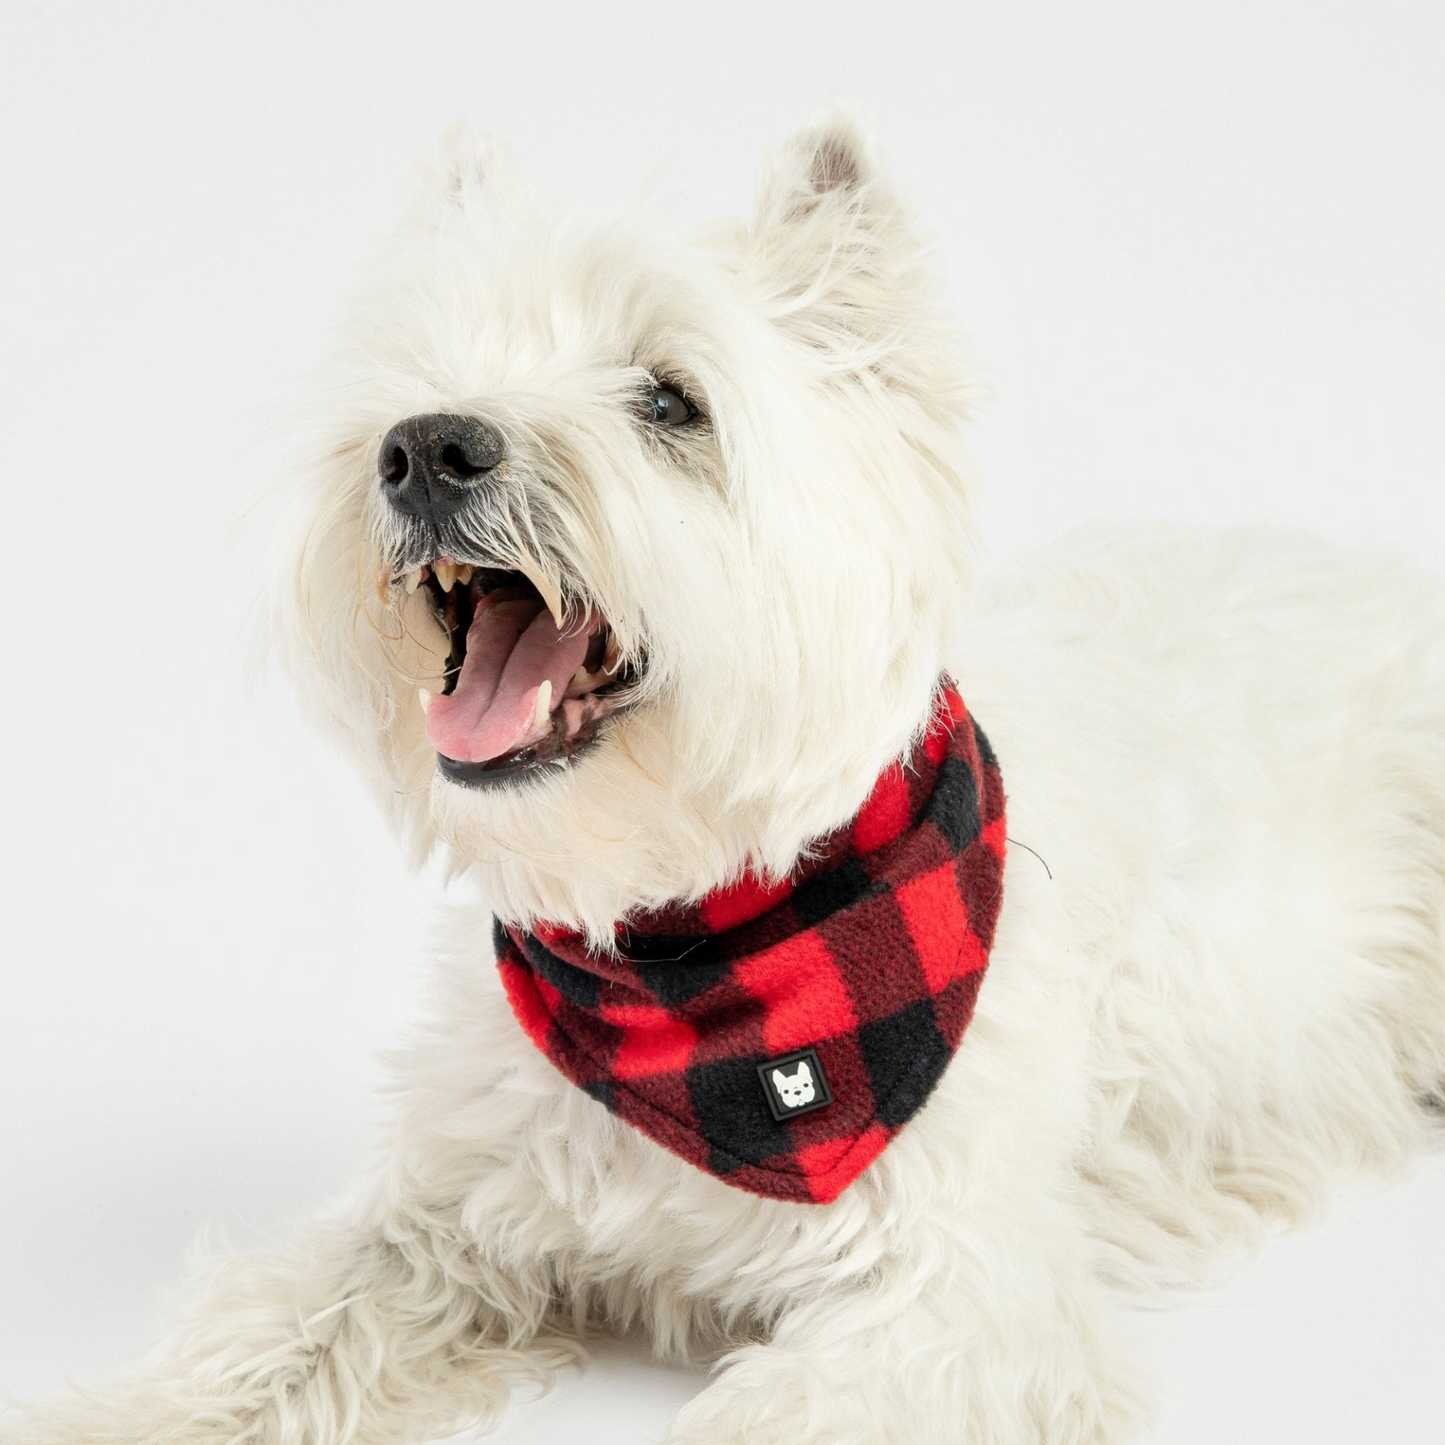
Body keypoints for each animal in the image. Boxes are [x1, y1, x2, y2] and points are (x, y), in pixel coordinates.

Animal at [11, 109, 1445, 1445]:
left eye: (667, 400)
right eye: (426, 372)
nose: (424, 447)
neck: (692, 938)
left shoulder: (951, 1300)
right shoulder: (448, 1211)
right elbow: (276, 1324)